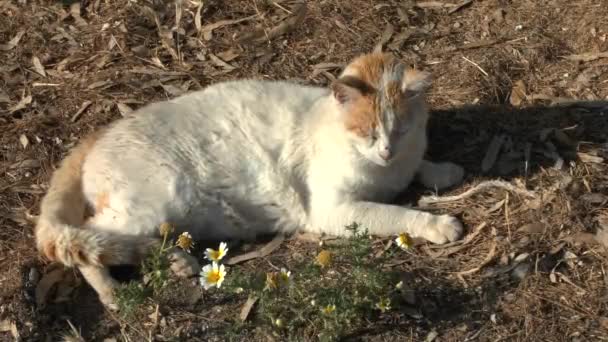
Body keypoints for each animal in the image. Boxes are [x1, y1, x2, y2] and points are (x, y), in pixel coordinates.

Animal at [35, 50, 466, 308]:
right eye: (368, 133)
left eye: (401, 131)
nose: (387, 151)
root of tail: (98, 134)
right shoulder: (334, 211)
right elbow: (396, 214)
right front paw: (438, 224)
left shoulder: (404, 160)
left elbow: (420, 166)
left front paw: (442, 170)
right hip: (150, 204)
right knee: (86, 238)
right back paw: (111, 291)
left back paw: (179, 262)